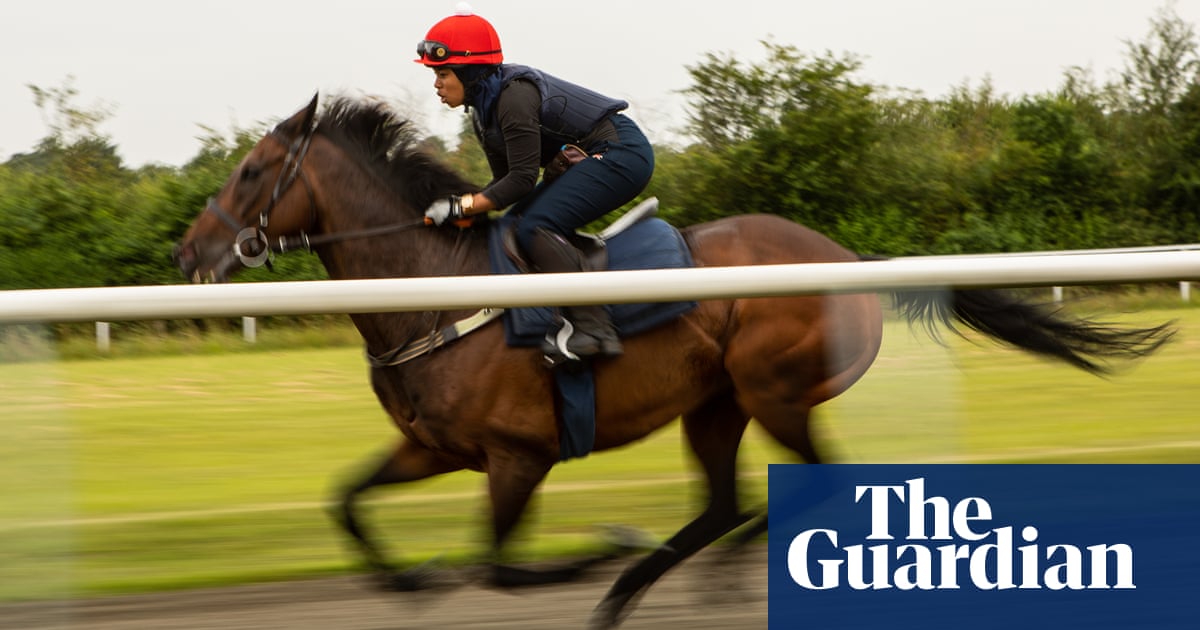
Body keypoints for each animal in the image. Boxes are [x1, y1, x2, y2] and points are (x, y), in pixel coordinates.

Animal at [175, 93, 1171, 624]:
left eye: (253, 172)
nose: (191, 255)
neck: (434, 290)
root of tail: (850, 259)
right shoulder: (434, 447)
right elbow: (346, 503)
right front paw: (411, 580)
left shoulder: (519, 456)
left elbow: (500, 566)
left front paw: (589, 554)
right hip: (716, 402)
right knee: (728, 503)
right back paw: (653, 580)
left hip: (773, 390)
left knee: (808, 486)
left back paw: (645, 571)